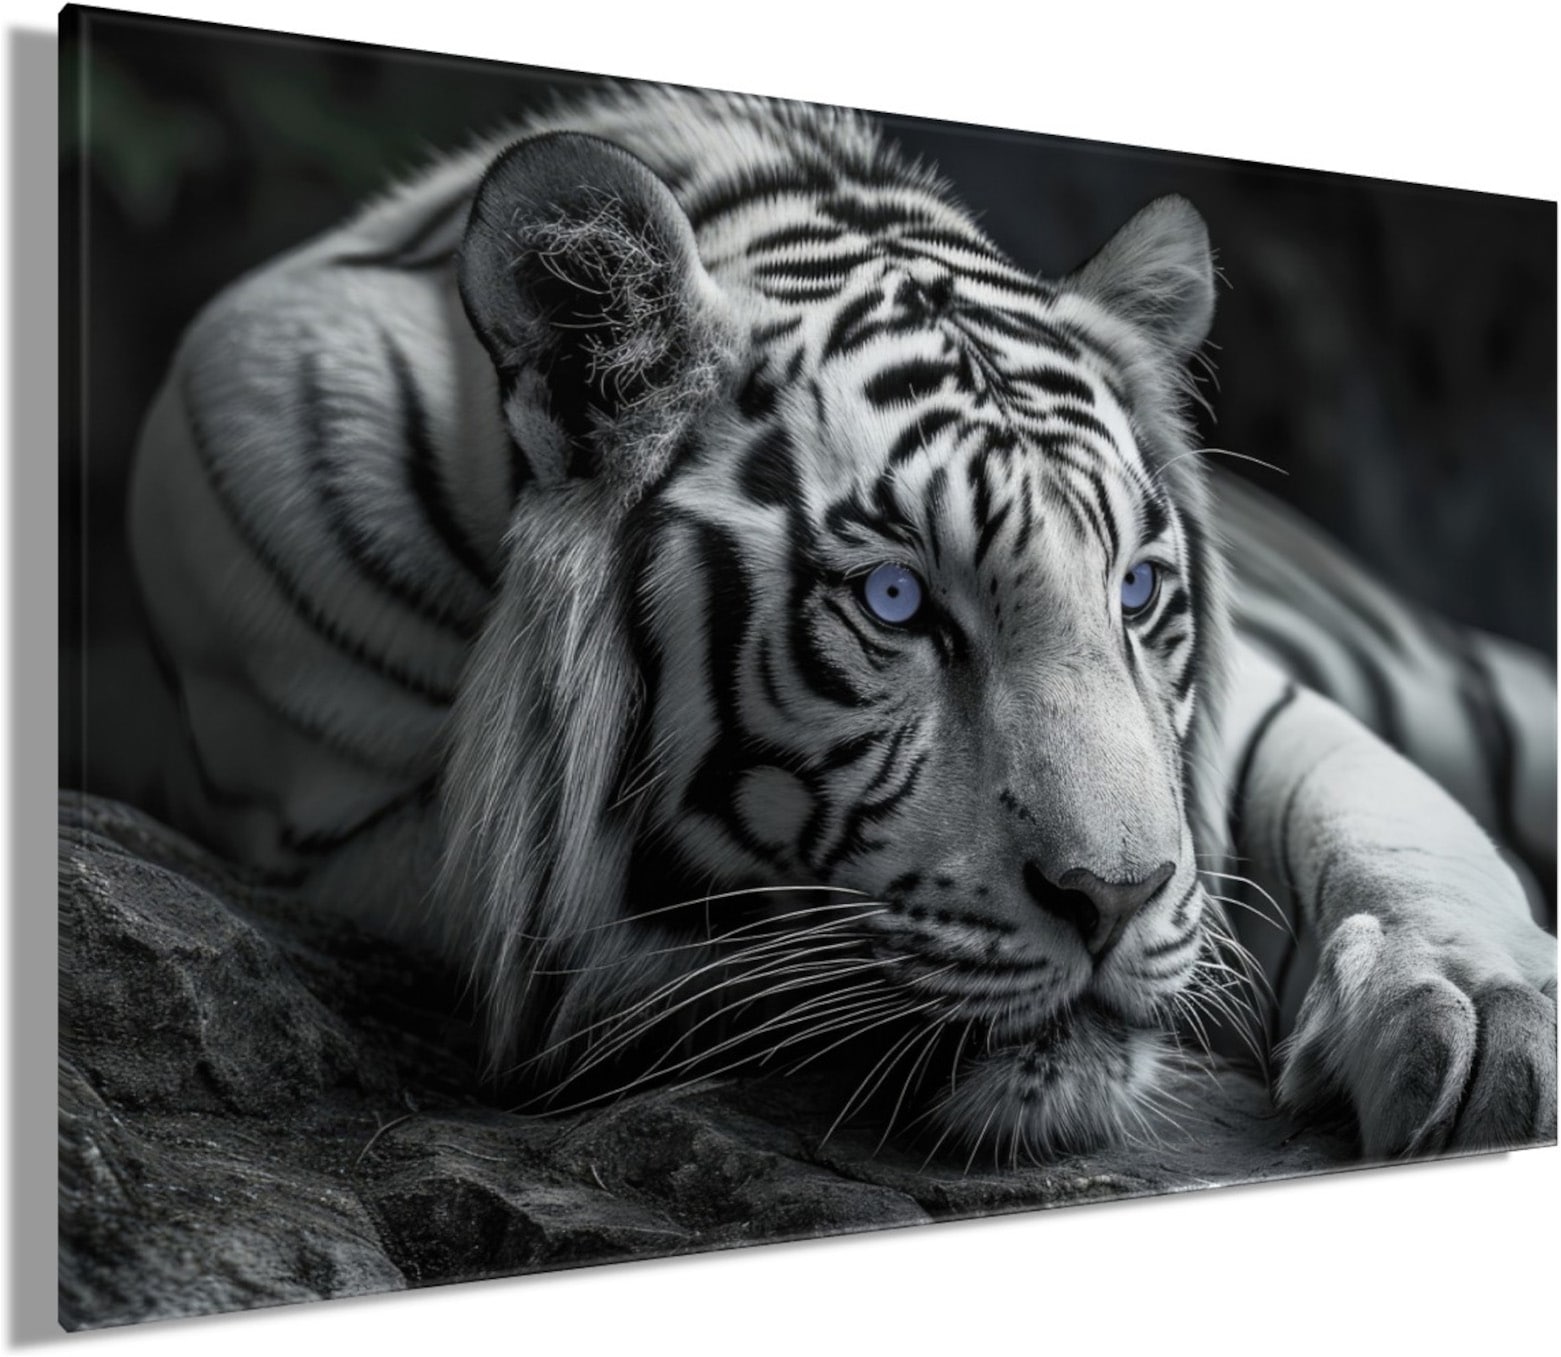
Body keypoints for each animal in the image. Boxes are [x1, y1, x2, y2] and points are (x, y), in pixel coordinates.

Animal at [128, 83, 1557, 1161]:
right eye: (894, 600)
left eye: (1137, 593)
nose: (1112, 898)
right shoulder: (331, 824)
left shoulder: (1259, 705)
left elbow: (1385, 816)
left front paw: (1481, 1013)